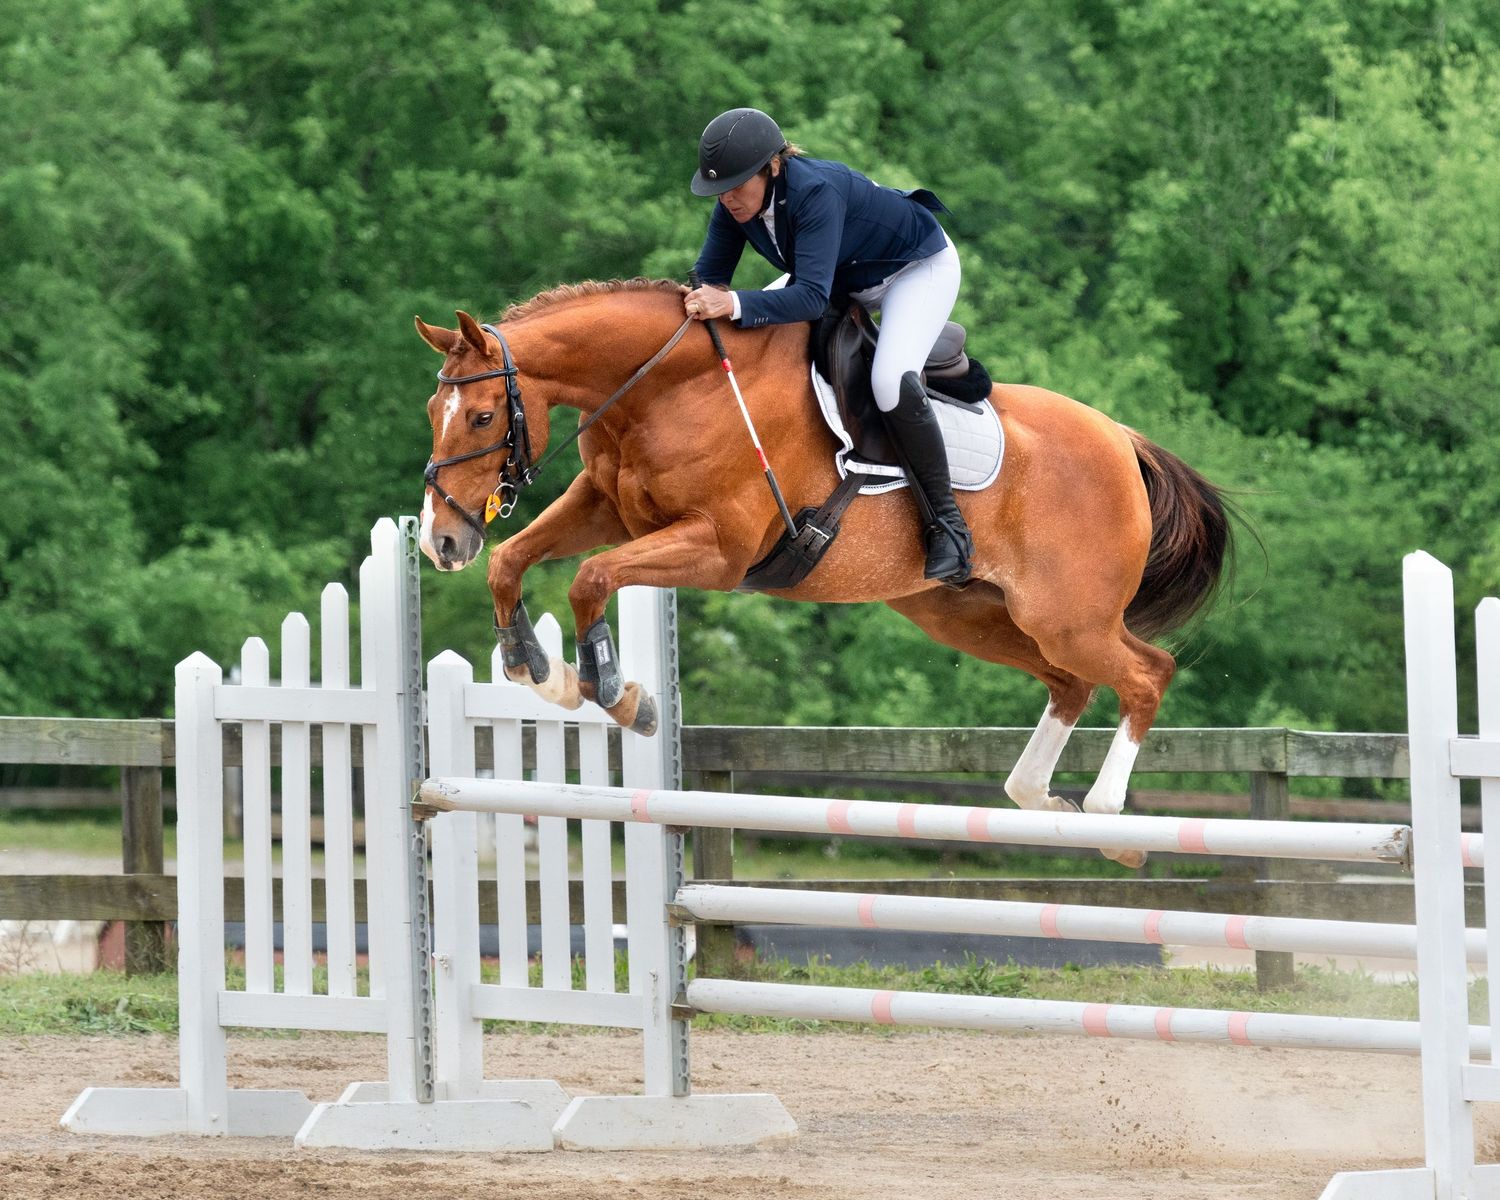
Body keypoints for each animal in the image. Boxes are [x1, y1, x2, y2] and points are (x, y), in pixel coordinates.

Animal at [415, 278, 1230, 868]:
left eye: (482, 417)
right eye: (432, 411)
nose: (442, 541)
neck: (665, 386)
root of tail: (1120, 438)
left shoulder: (718, 550)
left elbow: (589, 579)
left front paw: (616, 693)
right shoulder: (606, 509)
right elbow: (515, 560)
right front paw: (536, 668)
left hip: (1066, 615)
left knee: (1146, 673)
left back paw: (1110, 822)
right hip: (968, 613)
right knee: (1072, 684)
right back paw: (1042, 800)